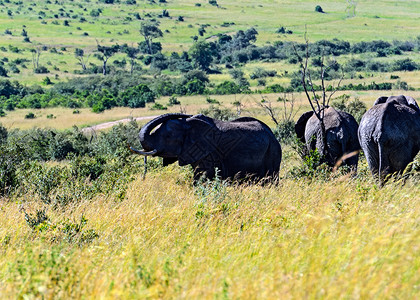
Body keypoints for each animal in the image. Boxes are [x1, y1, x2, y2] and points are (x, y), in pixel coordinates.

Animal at [131, 113, 282, 180]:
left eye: (168, 137)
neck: (188, 124)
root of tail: (273, 135)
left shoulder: (209, 153)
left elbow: (202, 177)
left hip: (273, 152)